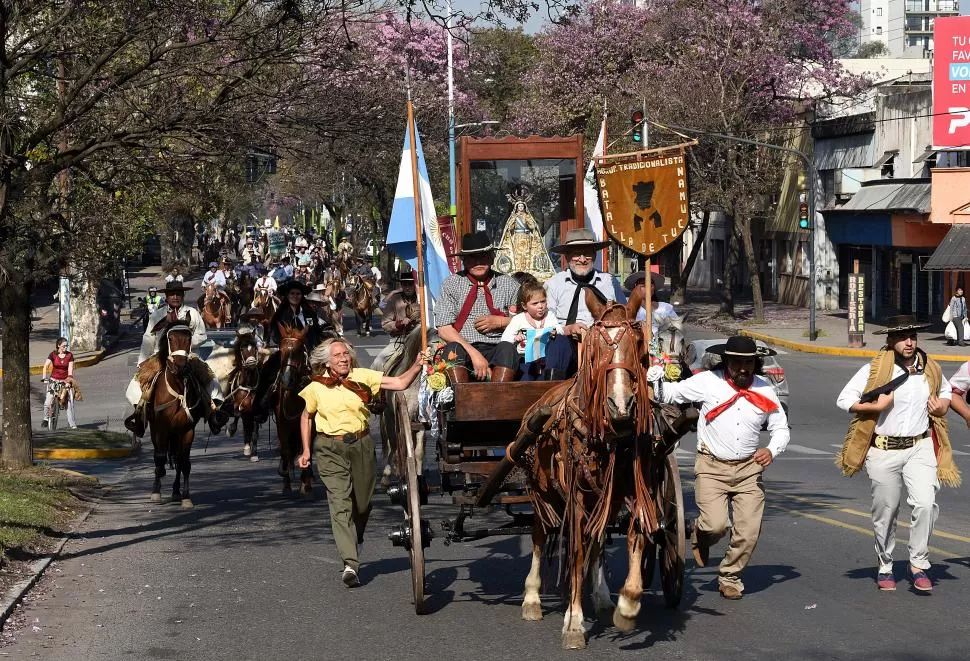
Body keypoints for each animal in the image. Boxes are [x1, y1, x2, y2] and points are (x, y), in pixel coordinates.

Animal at [146, 322, 208, 508]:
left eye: (188, 338)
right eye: (171, 338)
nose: (180, 367)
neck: (178, 389)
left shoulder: (187, 430)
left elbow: (184, 462)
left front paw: (186, 497)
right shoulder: (161, 429)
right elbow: (159, 458)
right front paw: (156, 491)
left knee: (178, 459)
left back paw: (175, 491)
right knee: (158, 455)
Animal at [510, 286, 656, 648]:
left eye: (638, 343)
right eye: (596, 349)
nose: (620, 405)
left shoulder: (631, 490)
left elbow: (635, 535)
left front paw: (628, 604)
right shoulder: (575, 495)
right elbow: (575, 553)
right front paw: (574, 623)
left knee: (597, 539)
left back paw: (601, 597)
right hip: (543, 492)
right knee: (540, 535)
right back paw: (532, 598)